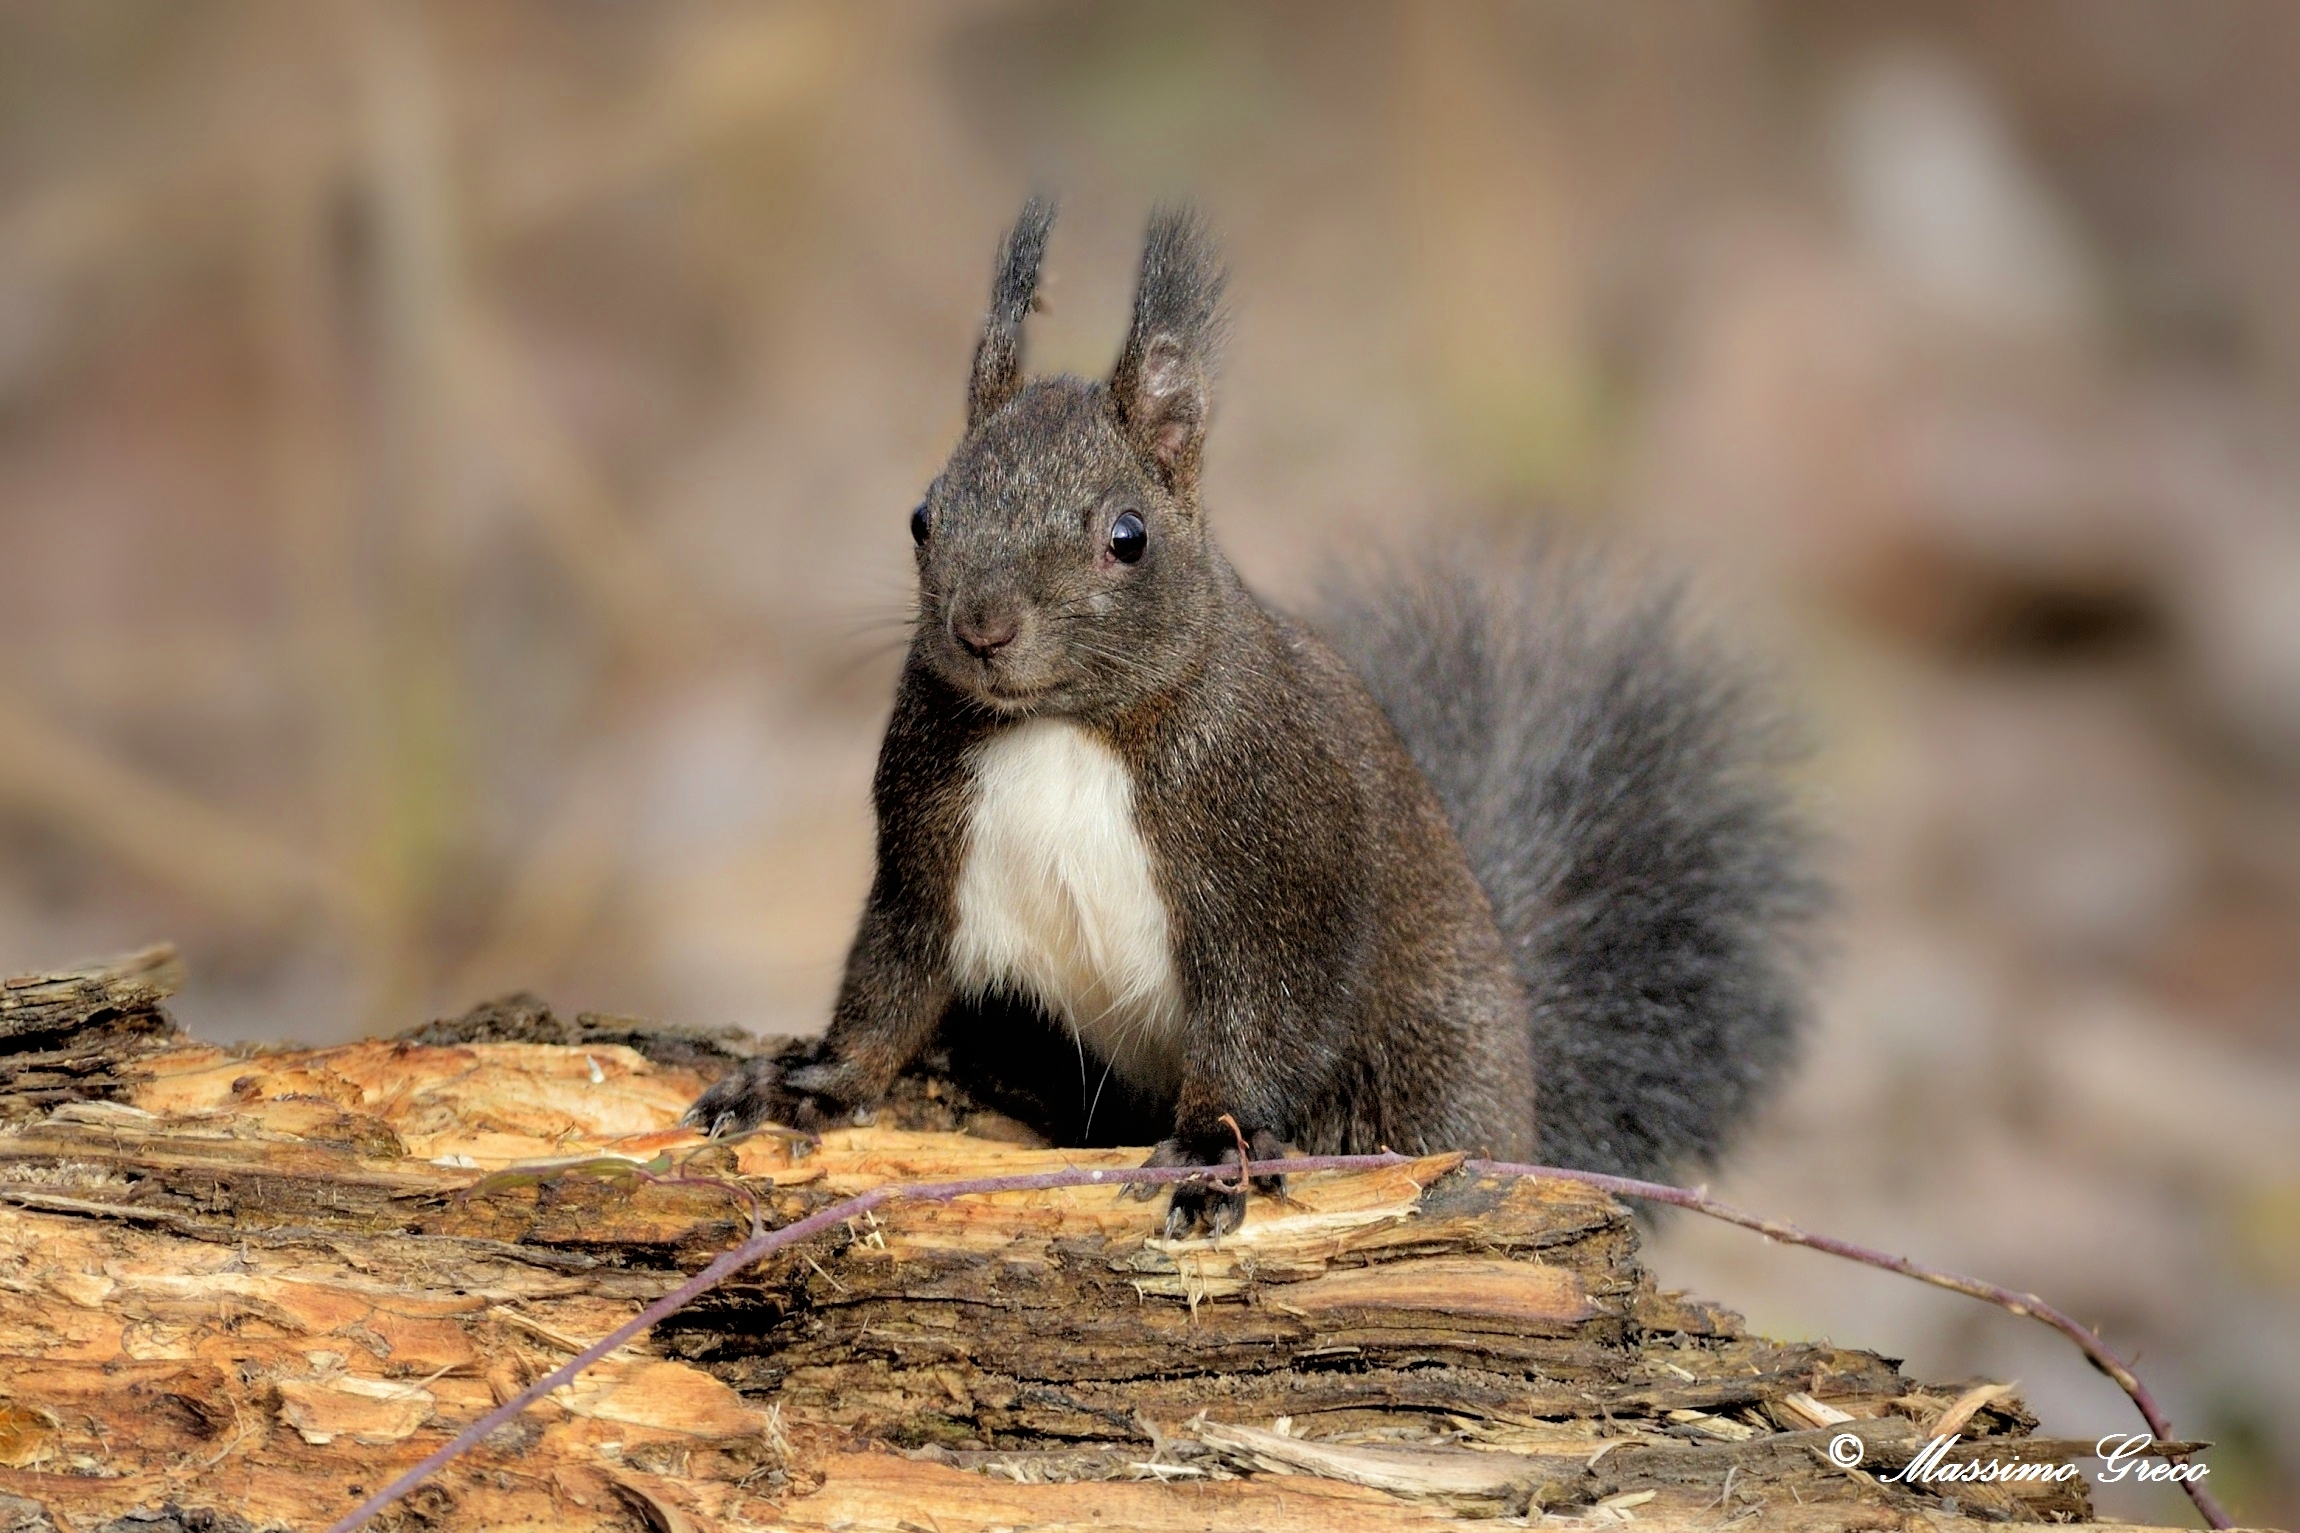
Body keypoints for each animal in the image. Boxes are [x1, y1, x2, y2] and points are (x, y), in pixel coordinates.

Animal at [687, 199, 1823, 1236]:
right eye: (923, 516)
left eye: (1128, 536)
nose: (980, 629)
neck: (1067, 726)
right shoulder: (923, 843)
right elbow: (890, 982)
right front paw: (808, 1083)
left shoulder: (1277, 861)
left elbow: (1258, 1024)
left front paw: (1206, 1151)